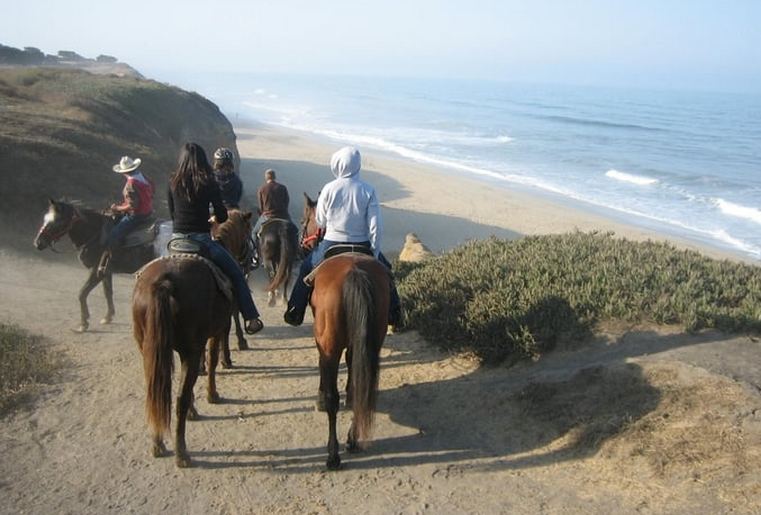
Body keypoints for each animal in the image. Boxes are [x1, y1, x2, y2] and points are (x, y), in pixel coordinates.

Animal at [33, 200, 165, 332]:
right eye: (46, 218)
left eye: (57, 221)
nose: (38, 243)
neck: (95, 234)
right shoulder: (105, 272)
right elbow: (107, 292)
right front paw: (108, 317)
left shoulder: (96, 271)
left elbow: (82, 293)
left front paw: (83, 323)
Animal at [132, 256, 232, 470]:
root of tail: (164, 282)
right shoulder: (217, 331)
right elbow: (211, 362)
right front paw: (212, 395)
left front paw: (195, 410)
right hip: (190, 350)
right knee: (179, 399)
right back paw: (181, 454)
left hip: (148, 350)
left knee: (156, 393)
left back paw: (158, 443)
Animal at [310, 254, 392, 472]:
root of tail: (354, 271)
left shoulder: (323, 345)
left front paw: (320, 398)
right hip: (371, 340)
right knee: (359, 389)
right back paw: (353, 440)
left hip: (330, 345)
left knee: (333, 400)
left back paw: (333, 456)